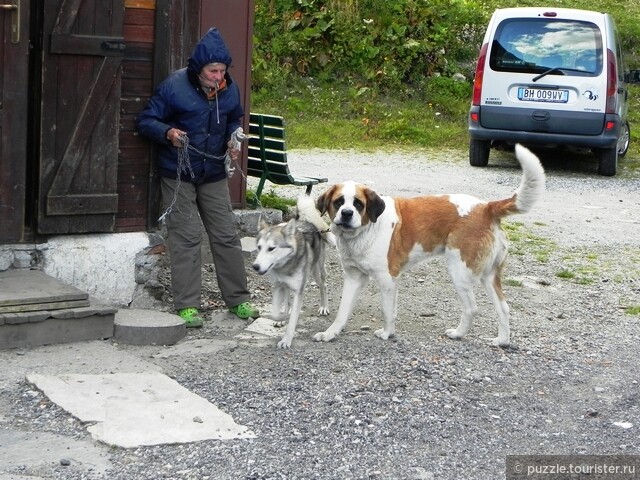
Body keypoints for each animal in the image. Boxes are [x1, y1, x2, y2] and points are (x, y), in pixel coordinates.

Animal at [252, 196, 338, 348]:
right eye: (259, 247)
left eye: (271, 248)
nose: (255, 266)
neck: (285, 266)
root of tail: (307, 222)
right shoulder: (279, 285)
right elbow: (279, 309)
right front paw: (281, 317)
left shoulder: (298, 290)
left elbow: (292, 320)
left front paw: (286, 340)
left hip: (317, 271)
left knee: (323, 285)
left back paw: (324, 307)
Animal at [316, 144, 544, 346]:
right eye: (338, 202)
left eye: (358, 204)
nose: (346, 214)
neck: (365, 230)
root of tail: (486, 207)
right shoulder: (354, 278)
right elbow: (343, 311)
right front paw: (330, 334)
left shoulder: (387, 279)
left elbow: (386, 310)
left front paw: (387, 334)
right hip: (489, 276)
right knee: (503, 308)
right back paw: (501, 341)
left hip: (459, 270)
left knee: (471, 308)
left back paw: (458, 334)